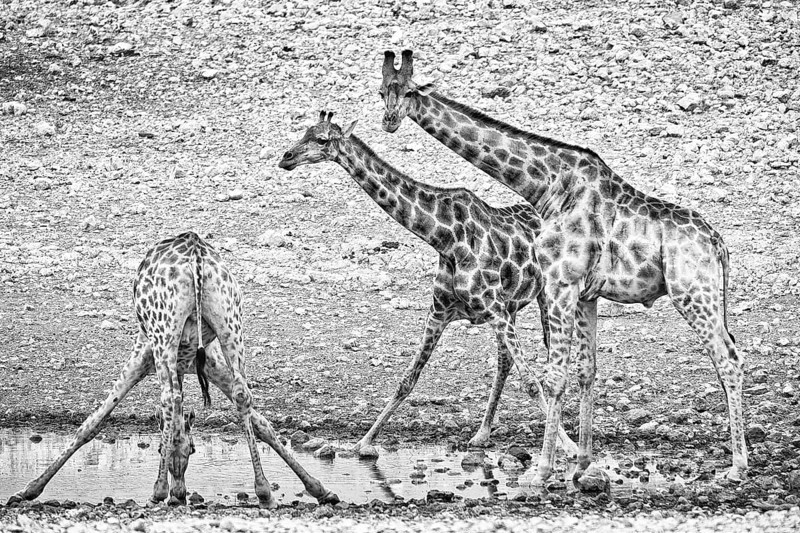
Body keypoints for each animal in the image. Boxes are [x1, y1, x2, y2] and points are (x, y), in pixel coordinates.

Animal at [7, 232, 339, 507]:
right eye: (190, 450)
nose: (180, 493)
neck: (184, 364)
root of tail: (196, 253)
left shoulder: (143, 352)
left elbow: (93, 421)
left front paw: (29, 489)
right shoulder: (209, 362)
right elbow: (261, 423)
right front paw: (319, 489)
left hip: (163, 331)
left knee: (170, 397)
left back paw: (157, 492)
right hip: (231, 321)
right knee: (242, 394)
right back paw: (264, 492)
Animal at [279, 111, 578, 458]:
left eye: (322, 139)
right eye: (305, 132)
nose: (286, 157)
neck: (445, 239)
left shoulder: (494, 309)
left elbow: (531, 382)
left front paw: (569, 446)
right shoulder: (442, 312)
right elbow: (407, 380)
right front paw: (364, 442)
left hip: (544, 298)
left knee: (551, 358)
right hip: (512, 306)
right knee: (504, 362)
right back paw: (481, 434)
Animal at [379, 50, 747, 485]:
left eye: (406, 91)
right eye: (381, 90)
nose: (389, 119)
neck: (547, 185)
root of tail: (719, 243)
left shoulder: (560, 283)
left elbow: (554, 377)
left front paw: (542, 470)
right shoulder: (586, 293)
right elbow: (587, 370)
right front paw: (583, 463)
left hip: (692, 294)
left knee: (728, 360)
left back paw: (738, 466)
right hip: (706, 296)